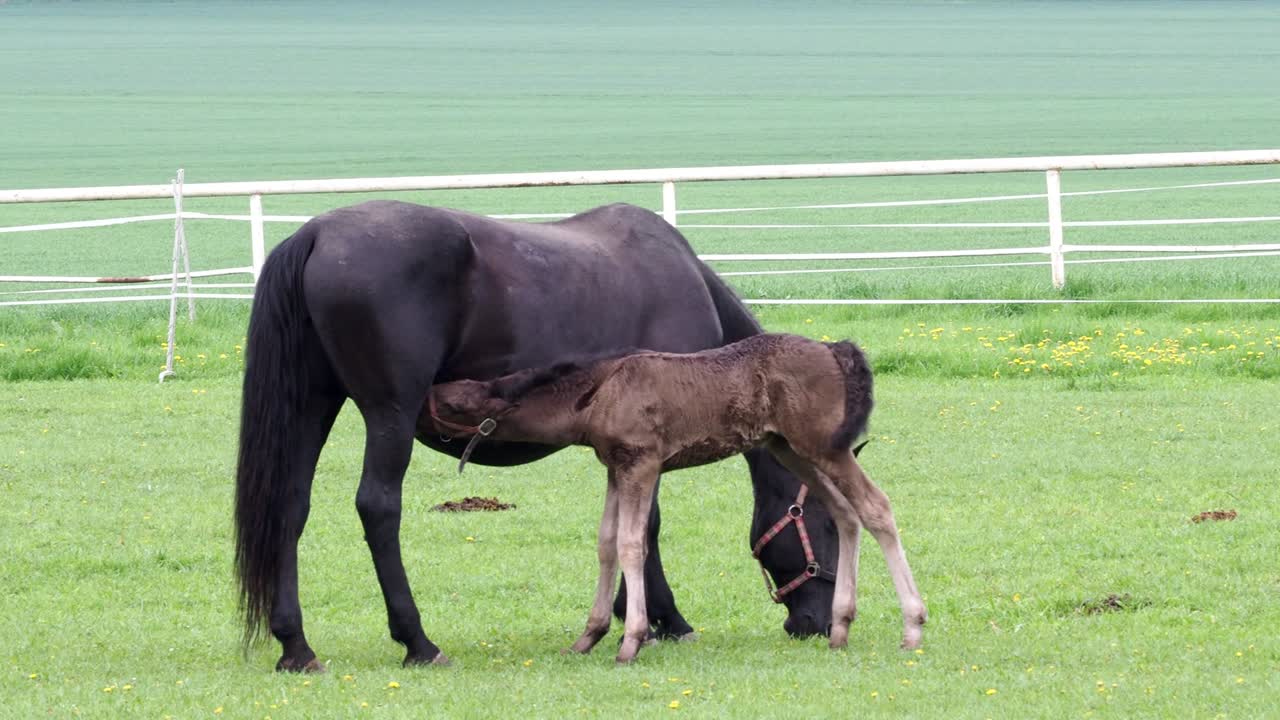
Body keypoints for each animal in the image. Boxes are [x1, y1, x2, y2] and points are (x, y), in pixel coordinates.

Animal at [234, 200, 839, 672]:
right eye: (830, 524)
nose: (814, 623)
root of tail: (316, 235)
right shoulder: (651, 442)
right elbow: (647, 527)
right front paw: (663, 621)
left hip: (313, 405)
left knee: (289, 507)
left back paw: (296, 647)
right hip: (390, 414)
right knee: (378, 508)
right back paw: (419, 642)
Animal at [429, 333, 926, 663]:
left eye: (456, 405)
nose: (428, 391)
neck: (602, 391)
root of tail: (832, 348)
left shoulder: (642, 464)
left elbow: (632, 544)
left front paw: (631, 640)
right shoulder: (616, 468)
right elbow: (606, 544)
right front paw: (589, 636)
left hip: (825, 447)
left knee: (876, 507)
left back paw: (913, 626)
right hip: (792, 449)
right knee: (846, 513)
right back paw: (840, 628)